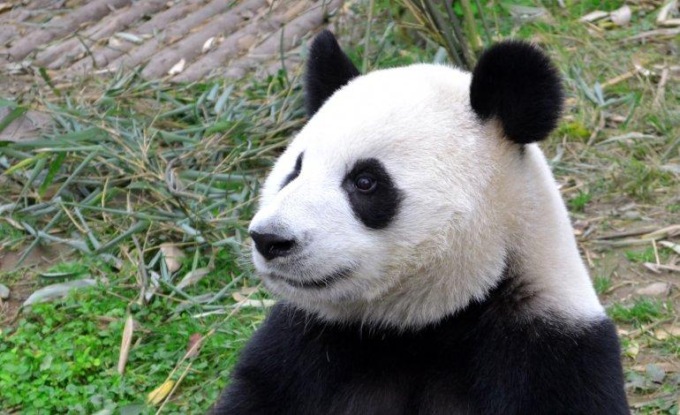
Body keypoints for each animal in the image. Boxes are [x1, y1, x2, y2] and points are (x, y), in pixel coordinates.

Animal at [211, 30, 629, 414]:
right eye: (295, 171)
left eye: (365, 181)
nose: (270, 239)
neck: (417, 328)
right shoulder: (299, 349)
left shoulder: (552, 356)